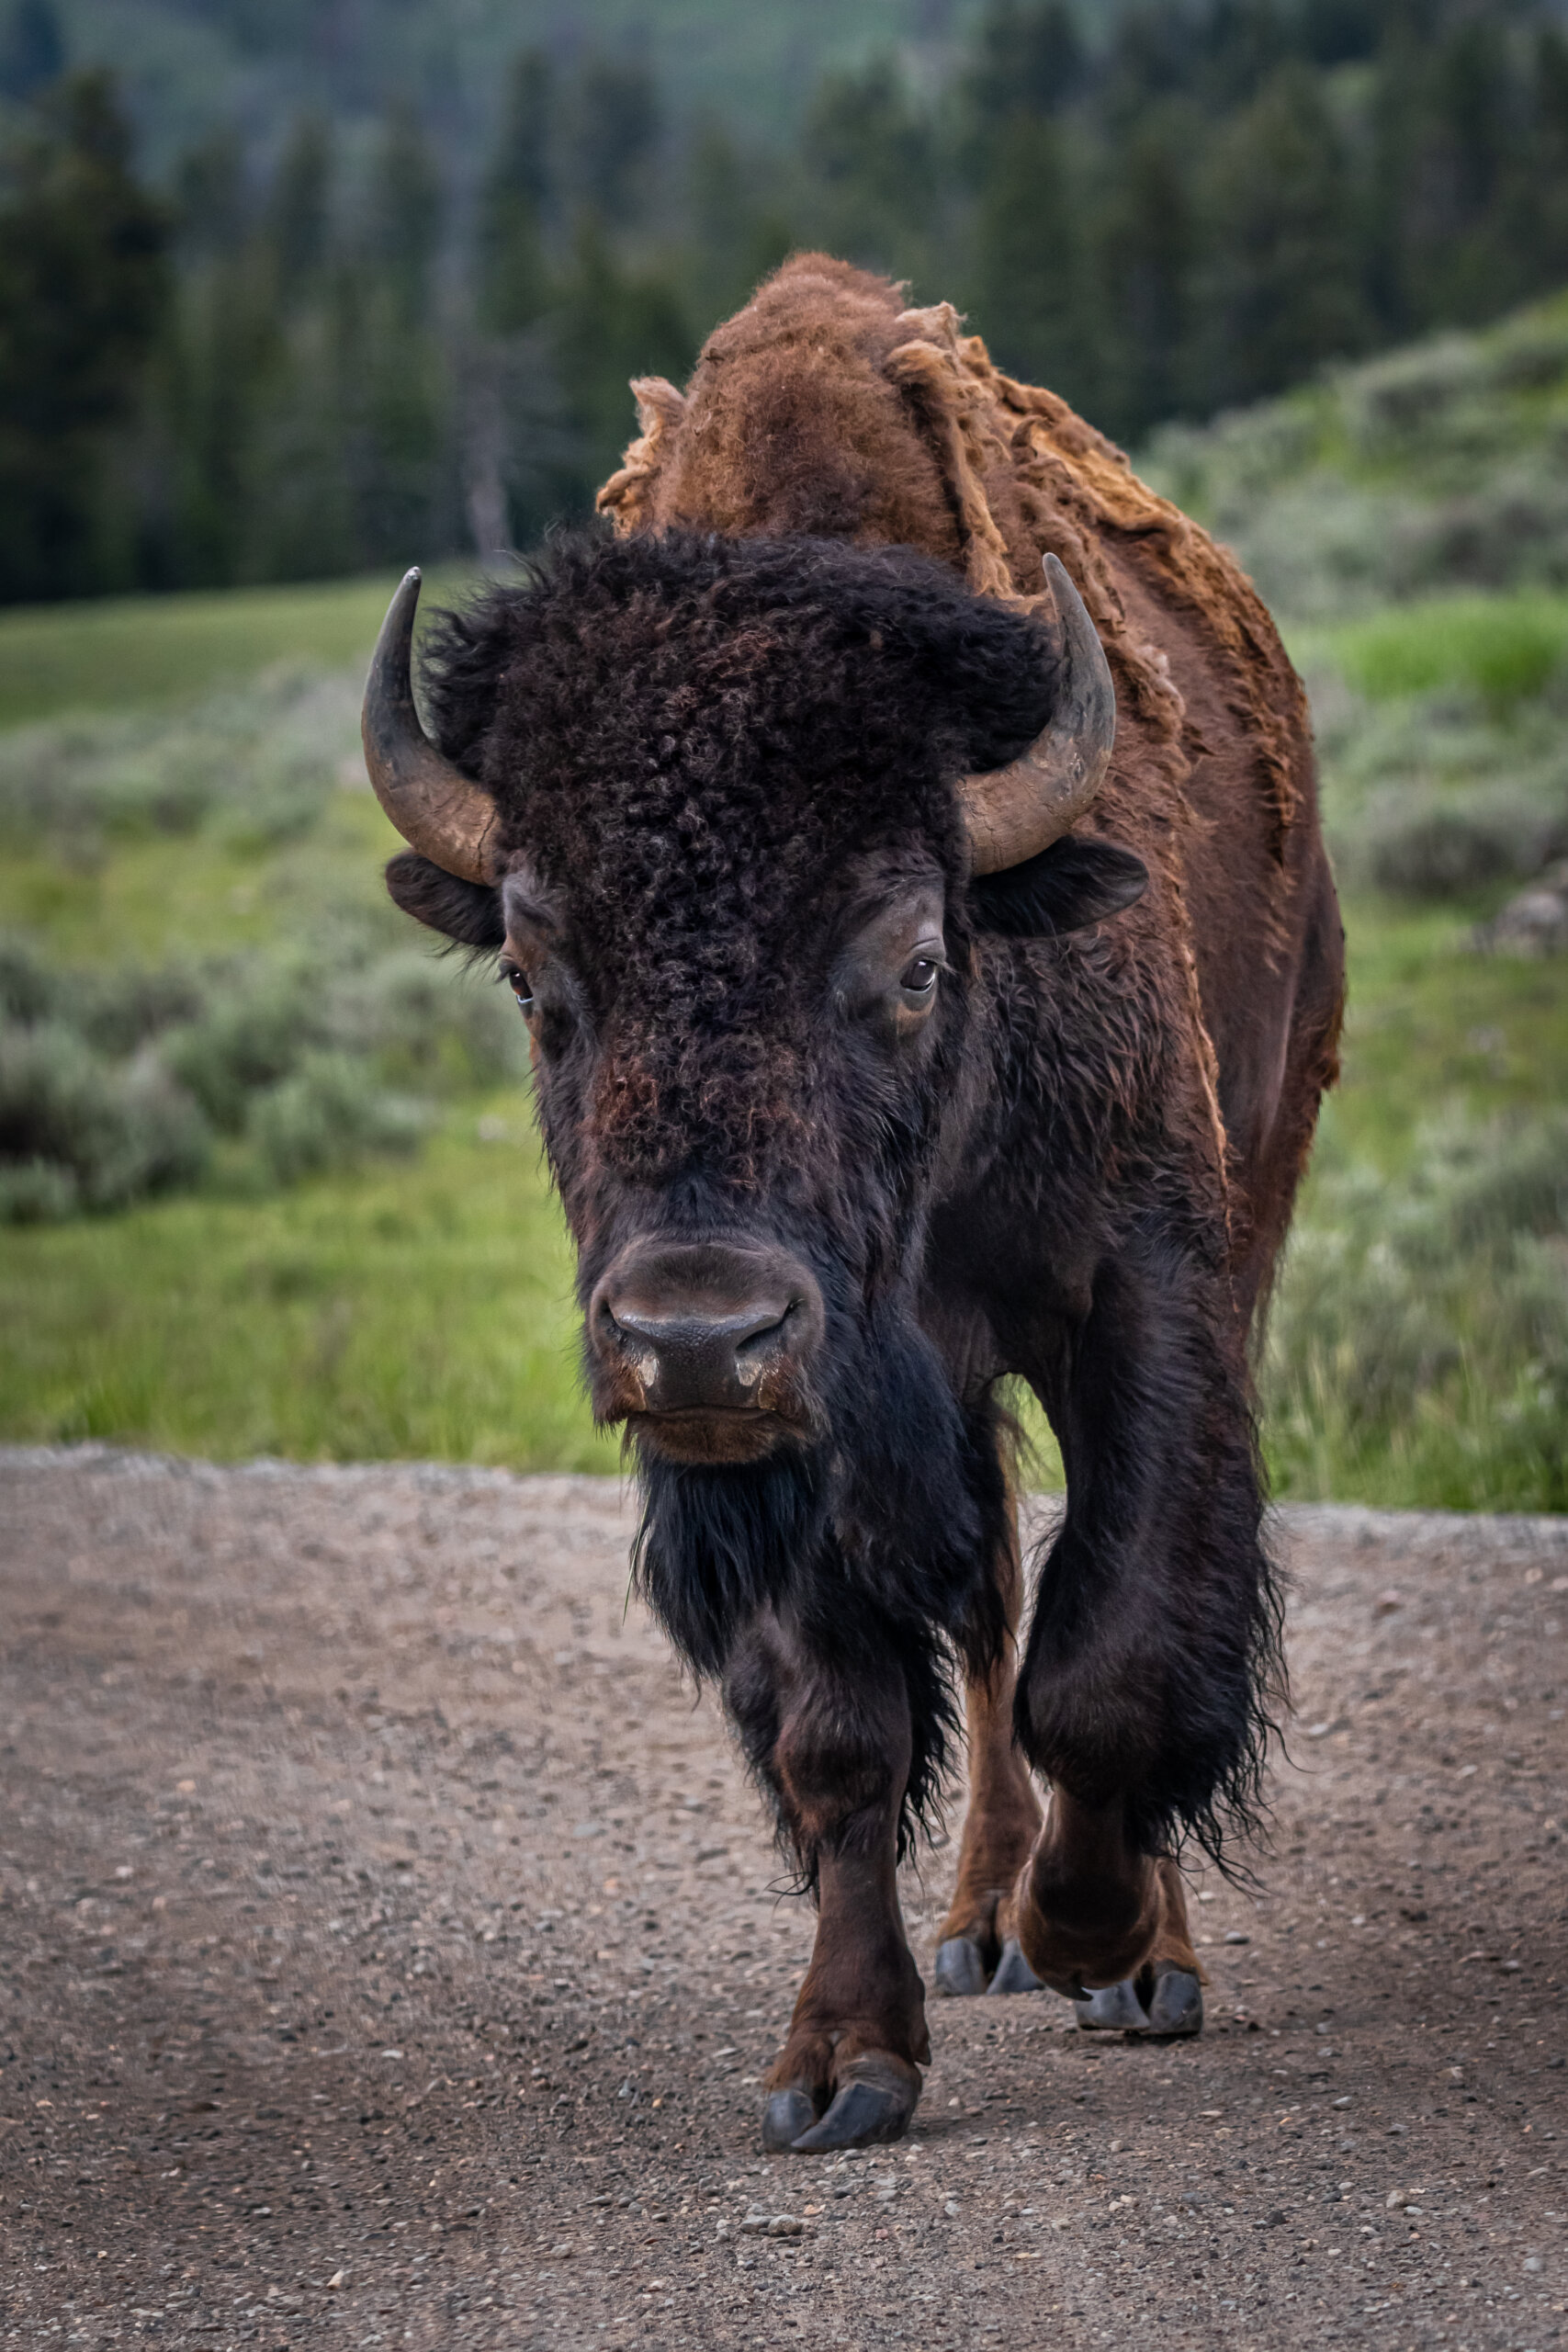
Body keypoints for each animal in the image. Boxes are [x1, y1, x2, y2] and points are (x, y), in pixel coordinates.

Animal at [361, 257, 1344, 2153]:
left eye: (909, 958)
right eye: (531, 971)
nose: (695, 1334)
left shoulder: (1146, 1287)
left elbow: (1123, 1641)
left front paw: (1097, 1932)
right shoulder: (801, 1441)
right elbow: (841, 1727)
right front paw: (839, 2064)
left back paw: (1121, 1957)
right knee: (981, 1609)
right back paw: (976, 1922)